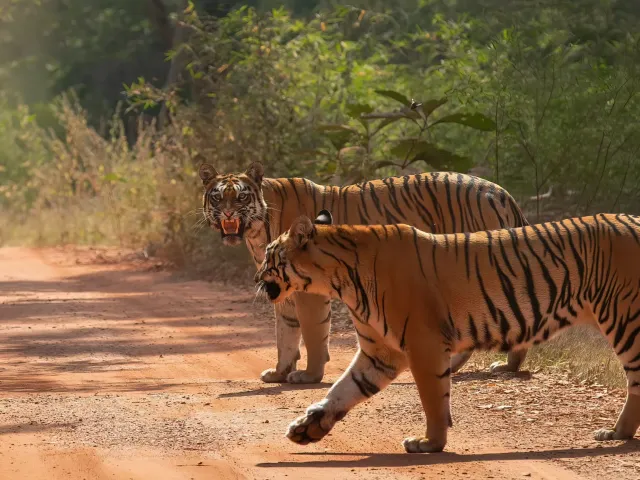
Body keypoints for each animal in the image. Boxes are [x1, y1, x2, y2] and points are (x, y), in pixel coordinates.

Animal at [199, 161, 530, 384]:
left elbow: (312, 333)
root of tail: (501, 193)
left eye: (241, 197)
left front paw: (309, 375)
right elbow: (286, 334)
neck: (256, 232)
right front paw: (280, 372)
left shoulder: (307, 291)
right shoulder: (282, 289)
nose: (227, 213)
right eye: (217, 197)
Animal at [254, 210, 640, 453]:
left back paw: (617, 433)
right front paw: (307, 428)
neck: (339, 280)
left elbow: (433, 399)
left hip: (625, 319)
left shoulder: (423, 345)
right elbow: (343, 390)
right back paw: (617, 433)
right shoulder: (380, 353)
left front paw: (429, 444)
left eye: (270, 256)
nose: (256, 276)